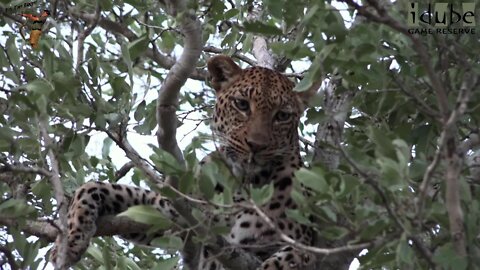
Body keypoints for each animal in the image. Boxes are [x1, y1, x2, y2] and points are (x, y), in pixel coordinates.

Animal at [50, 55, 316, 270]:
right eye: (241, 104)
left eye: (282, 115)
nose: (256, 145)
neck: (242, 181)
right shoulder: (176, 212)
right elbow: (98, 187)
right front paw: (69, 241)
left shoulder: (303, 245)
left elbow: (284, 260)